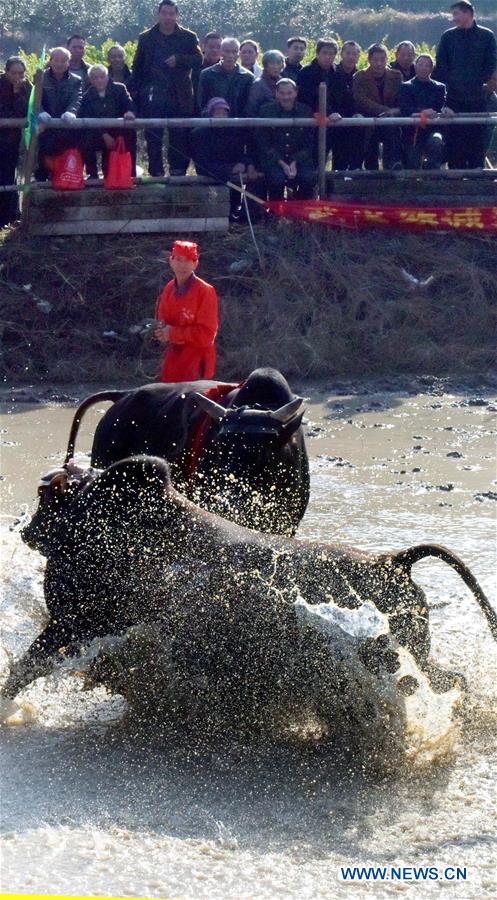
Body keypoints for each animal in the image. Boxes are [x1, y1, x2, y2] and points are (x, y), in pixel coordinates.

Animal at [2, 455, 496, 713]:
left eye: (47, 496)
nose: (27, 531)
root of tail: (394, 562)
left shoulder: (69, 624)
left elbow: (23, 668)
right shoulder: (77, 628)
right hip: (417, 656)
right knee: (450, 678)